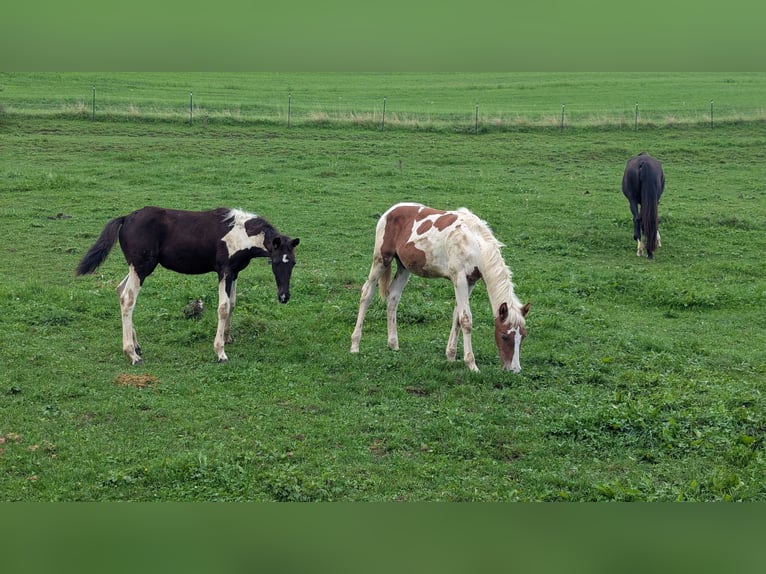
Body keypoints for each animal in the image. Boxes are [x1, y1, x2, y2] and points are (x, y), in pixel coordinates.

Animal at [76, 206, 299, 364]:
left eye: (293, 263)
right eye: (275, 262)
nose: (284, 297)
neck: (240, 233)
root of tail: (125, 218)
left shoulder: (234, 273)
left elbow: (233, 303)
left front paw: (227, 338)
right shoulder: (224, 271)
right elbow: (223, 307)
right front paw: (220, 352)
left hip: (136, 268)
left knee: (120, 290)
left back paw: (137, 346)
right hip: (141, 268)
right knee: (127, 299)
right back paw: (132, 355)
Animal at [350, 202, 530, 373]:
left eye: (523, 336)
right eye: (504, 335)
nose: (515, 370)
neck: (474, 242)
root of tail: (390, 210)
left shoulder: (470, 281)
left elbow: (457, 316)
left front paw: (450, 356)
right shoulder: (459, 278)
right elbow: (466, 319)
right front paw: (471, 364)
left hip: (404, 266)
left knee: (393, 296)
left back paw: (393, 344)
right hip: (381, 259)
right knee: (367, 293)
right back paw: (355, 345)